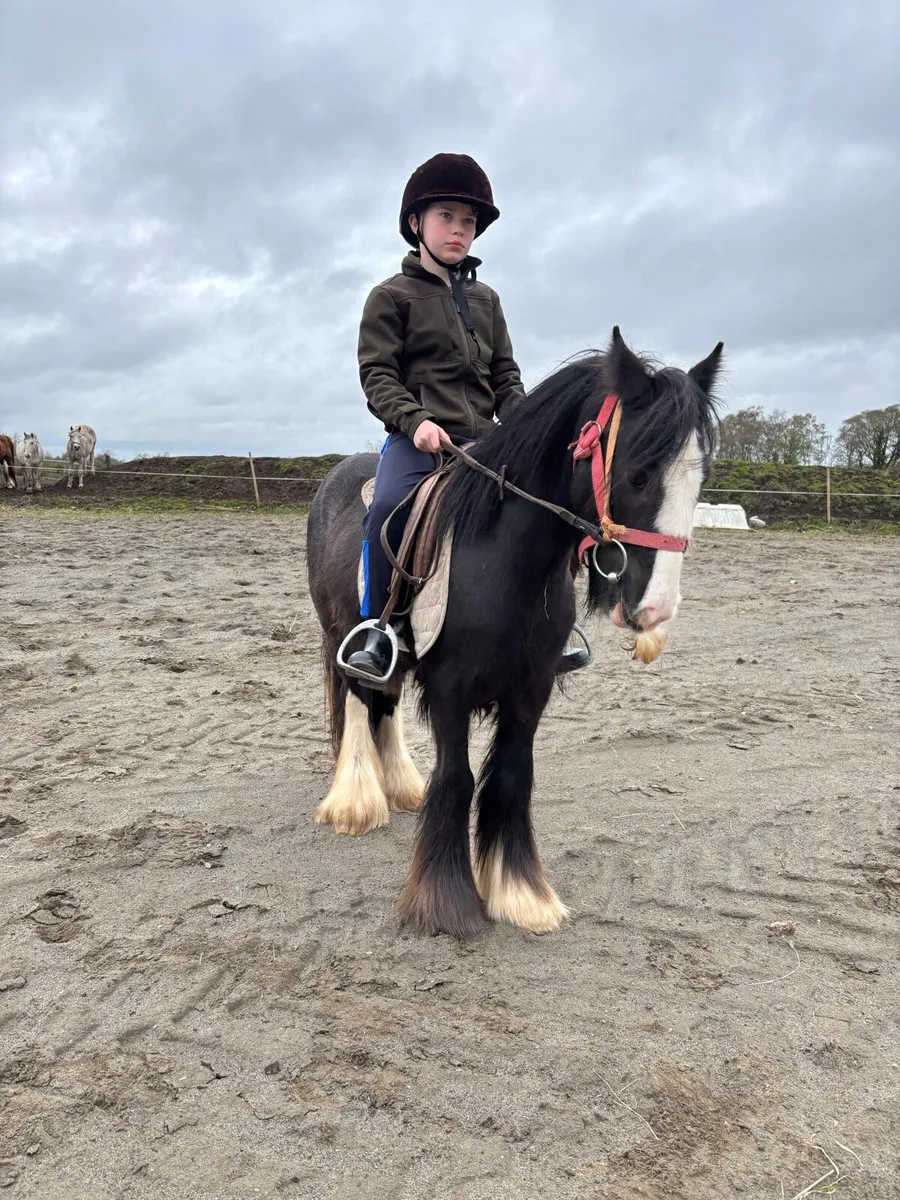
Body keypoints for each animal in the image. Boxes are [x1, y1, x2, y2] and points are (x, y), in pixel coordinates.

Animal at [306, 328, 722, 940]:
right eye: (640, 474)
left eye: (700, 480)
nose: (656, 609)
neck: (502, 558)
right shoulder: (451, 690)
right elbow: (457, 779)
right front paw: (446, 903)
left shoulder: (532, 689)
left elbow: (510, 777)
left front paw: (521, 894)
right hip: (345, 632)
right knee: (361, 697)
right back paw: (357, 802)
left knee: (385, 702)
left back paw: (399, 787)